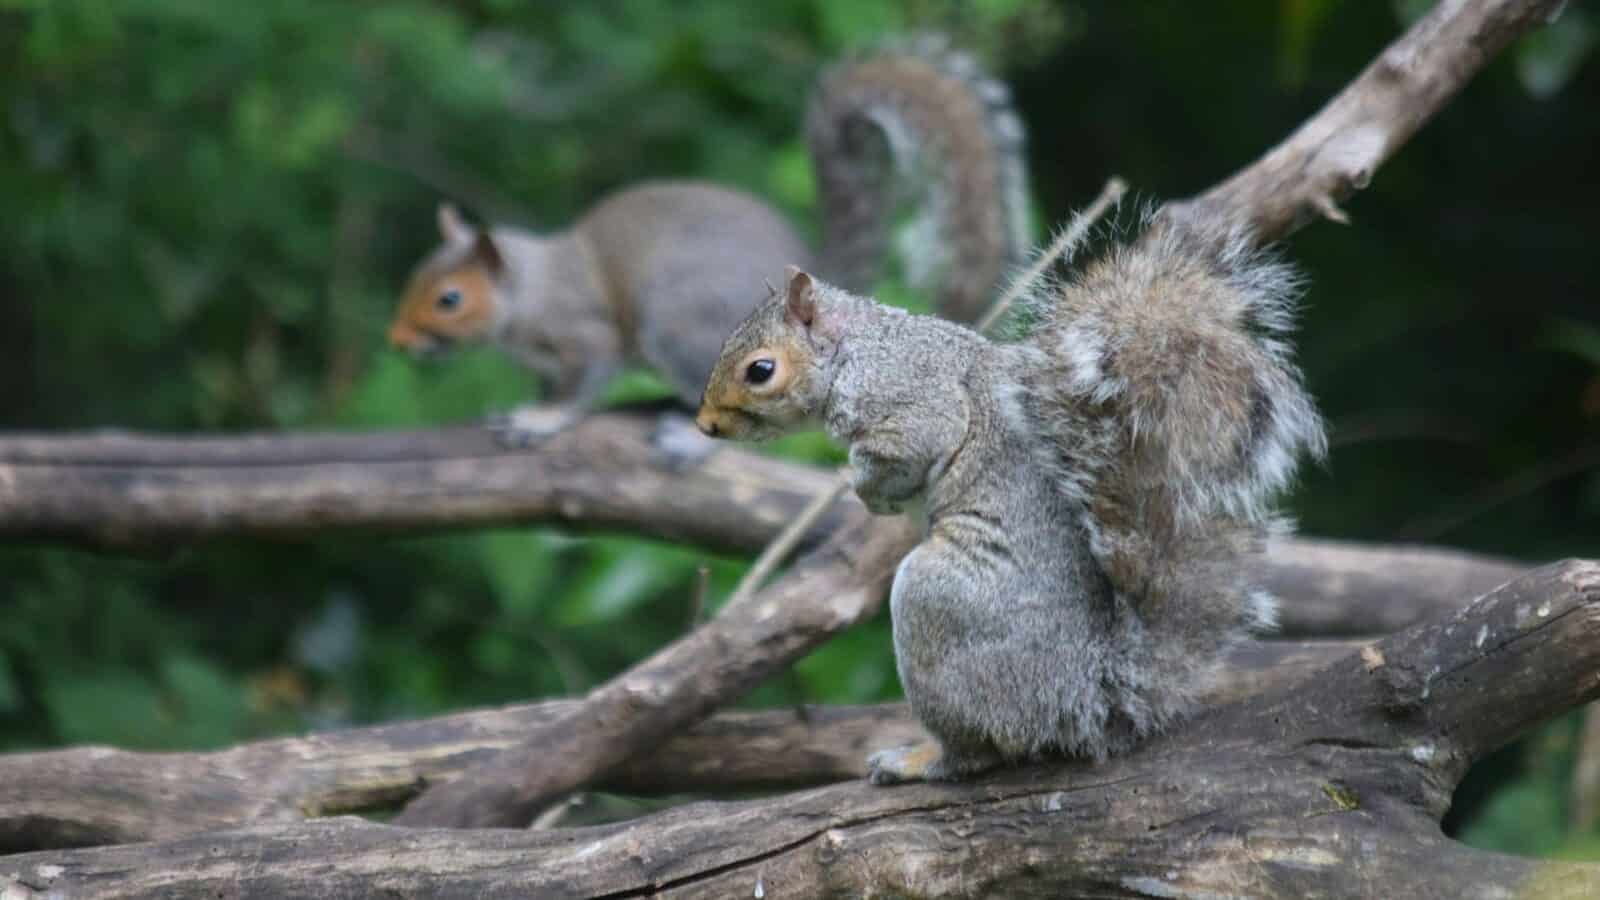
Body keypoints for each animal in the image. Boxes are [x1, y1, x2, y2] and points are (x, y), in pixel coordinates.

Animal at [386, 36, 1031, 447]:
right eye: (416, 275)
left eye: (449, 299)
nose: (398, 341)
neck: (529, 289)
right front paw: (525, 407)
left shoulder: (584, 332)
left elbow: (578, 386)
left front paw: (542, 419)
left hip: (675, 321)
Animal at [694, 211, 1327, 783]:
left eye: (760, 370)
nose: (705, 425)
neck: (857, 348)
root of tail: (1089, 697)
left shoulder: (912, 403)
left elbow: (904, 451)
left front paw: (869, 491)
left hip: (937, 605)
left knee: (978, 752)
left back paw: (918, 761)